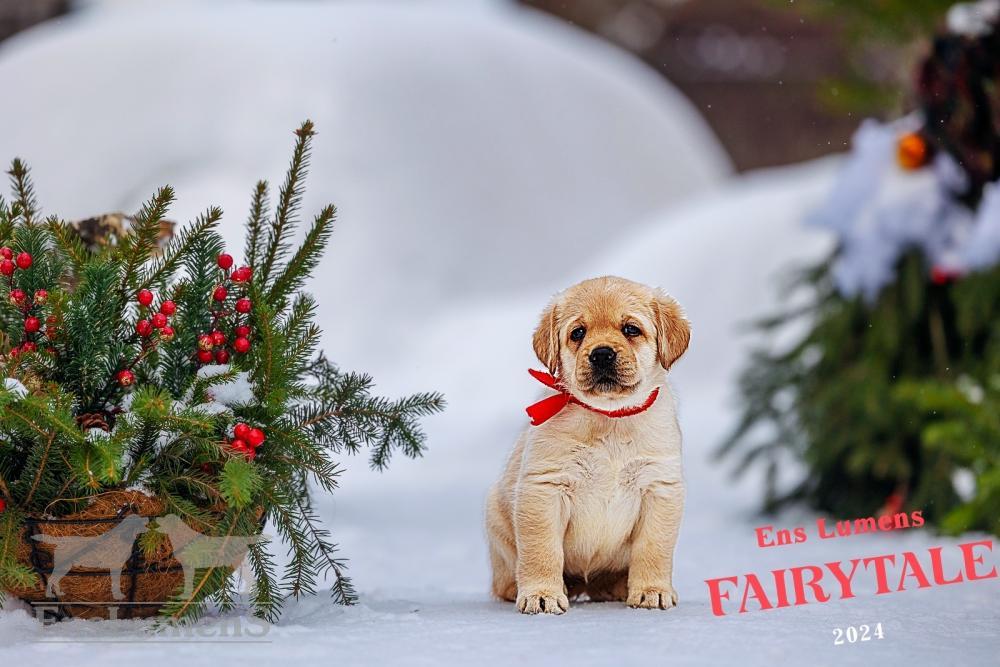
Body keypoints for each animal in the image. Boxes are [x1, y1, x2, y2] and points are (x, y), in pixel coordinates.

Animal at [484, 276, 688, 616]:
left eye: (631, 329)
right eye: (578, 333)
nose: (602, 354)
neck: (609, 418)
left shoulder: (659, 487)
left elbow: (653, 549)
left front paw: (651, 591)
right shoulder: (544, 488)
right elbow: (542, 550)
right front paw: (542, 594)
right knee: (504, 580)